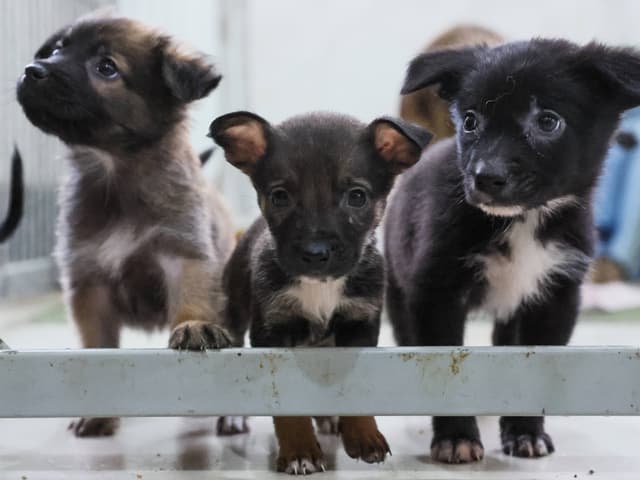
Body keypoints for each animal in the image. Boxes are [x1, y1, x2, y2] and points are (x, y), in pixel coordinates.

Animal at [17, 15, 235, 436]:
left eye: (107, 67)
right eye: (58, 49)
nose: (32, 71)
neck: (115, 176)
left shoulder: (184, 257)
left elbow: (191, 301)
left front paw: (193, 327)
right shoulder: (89, 282)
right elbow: (98, 352)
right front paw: (99, 413)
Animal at [210, 110, 430, 474]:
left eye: (357, 196)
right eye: (279, 196)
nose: (315, 253)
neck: (321, 286)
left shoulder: (360, 326)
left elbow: (354, 388)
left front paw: (363, 436)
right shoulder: (273, 332)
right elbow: (288, 404)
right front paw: (299, 450)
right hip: (232, 315)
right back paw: (233, 418)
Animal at [384, 40, 640, 462]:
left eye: (548, 122)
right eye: (470, 121)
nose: (485, 177)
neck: (523, 221)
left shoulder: (555, 296)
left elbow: (531, 370)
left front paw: (524, 432)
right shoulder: (436, 291)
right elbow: (441, 369)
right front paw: (456, 437)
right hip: (400, 289)